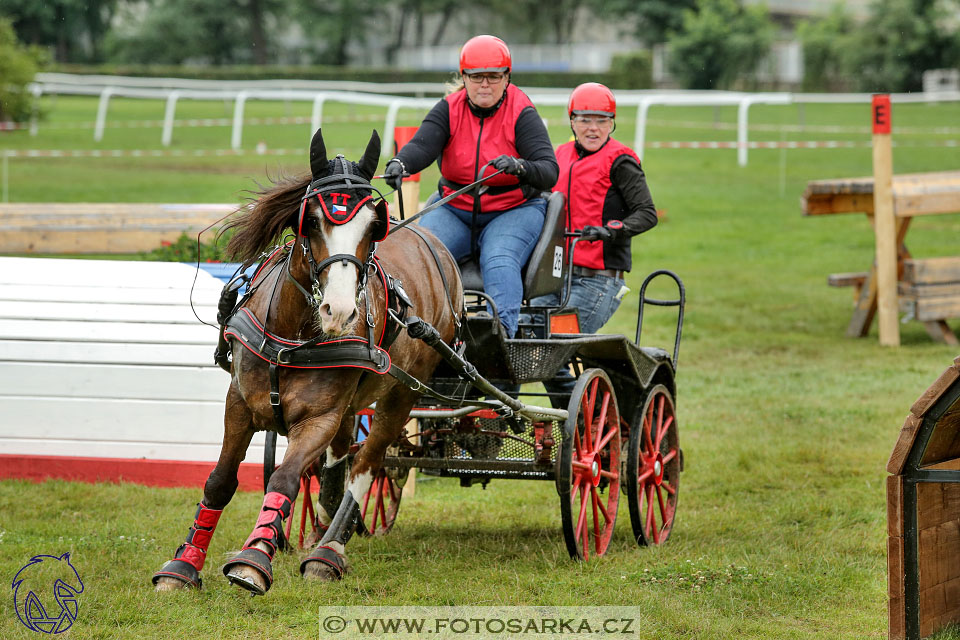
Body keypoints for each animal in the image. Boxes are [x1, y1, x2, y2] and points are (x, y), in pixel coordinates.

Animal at [152, 129, 464, 596]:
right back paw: (320, 530)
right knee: (338, 461)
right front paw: (183, 565)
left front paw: (254, 559)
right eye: (312, 221)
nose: (340, 312)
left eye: (373, 227)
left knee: (365, 464)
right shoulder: (239, 404)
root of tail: (434, 245)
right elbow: (221, 480)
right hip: (353, 404)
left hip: (403, 393)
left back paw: (328, 552)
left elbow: (285, 477)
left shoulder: (319, 418)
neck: (294, 336)